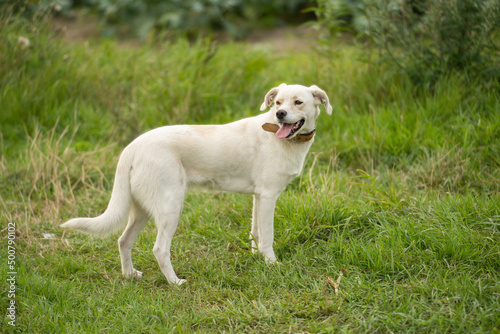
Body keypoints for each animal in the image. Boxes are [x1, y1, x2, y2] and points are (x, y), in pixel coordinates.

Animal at [62, 83, 332, 284]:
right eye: (278, 103)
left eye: (297, 102)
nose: (279, 114)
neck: (279, 137)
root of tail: (132, 147)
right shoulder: (267, 196)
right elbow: (267, 237)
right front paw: (271, 265)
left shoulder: (258, 197)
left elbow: (255, 233)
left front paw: (257, 260)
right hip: (171, 206)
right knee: (159, 249)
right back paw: (175, 282)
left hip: (142, 209)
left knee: (123, 241)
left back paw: (130, 275)